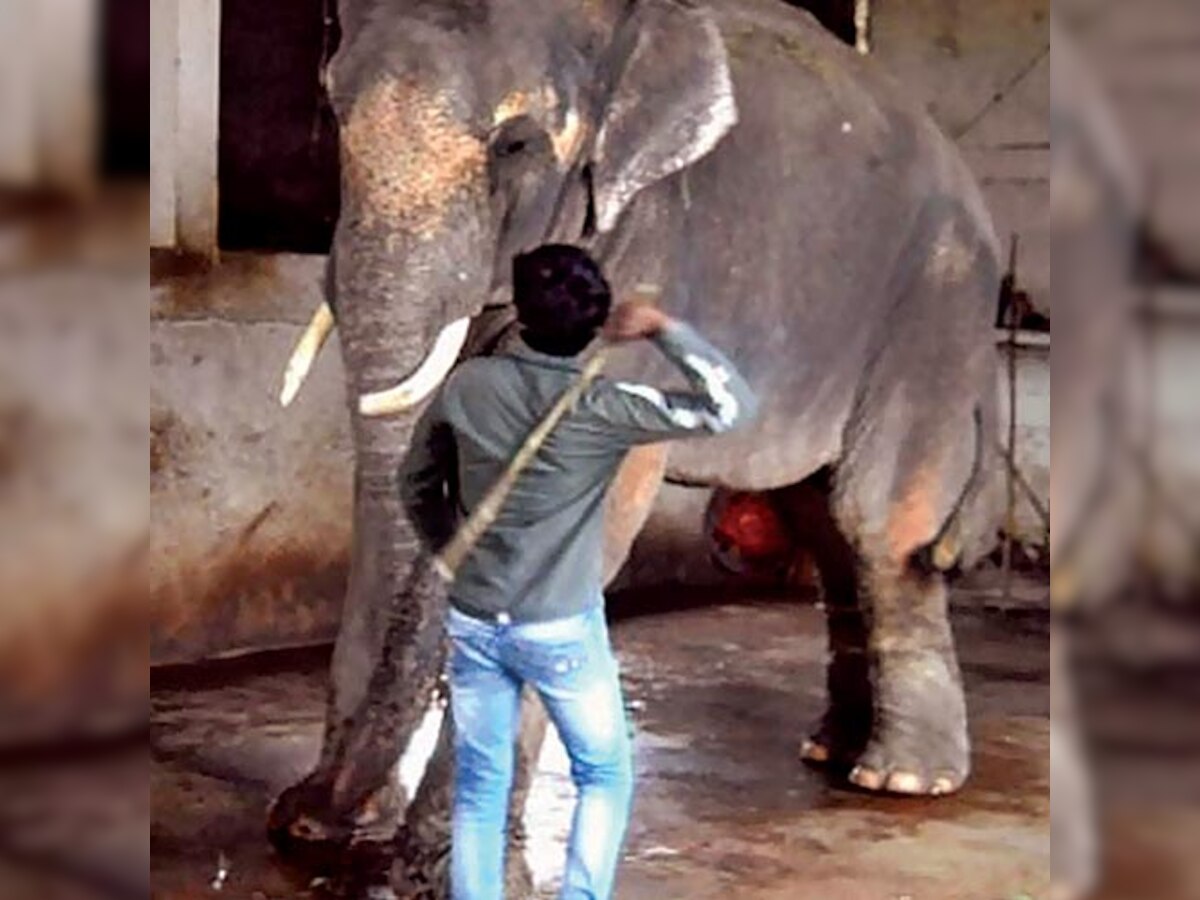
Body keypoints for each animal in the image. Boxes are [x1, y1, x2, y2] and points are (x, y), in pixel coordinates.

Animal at [270, 0, 1003, 888]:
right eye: (332, 111)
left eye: (515, 144)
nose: (310, 820)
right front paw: (323, 825)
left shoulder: (649, 252)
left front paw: (449, 880)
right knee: (820, 516)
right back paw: (833, 752)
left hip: (935, 301)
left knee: (875, 521)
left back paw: (902, 779)